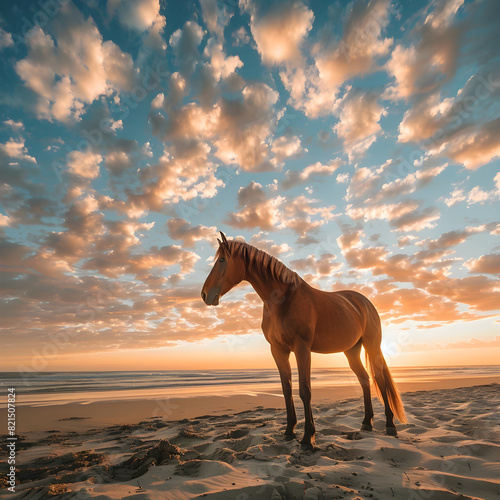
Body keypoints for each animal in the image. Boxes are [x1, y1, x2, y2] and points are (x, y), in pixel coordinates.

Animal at [202, 233, 406, 450]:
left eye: (222, 260)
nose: (205, 294)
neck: (283, 300)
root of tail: (365, 303)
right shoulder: (278, 350)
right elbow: (287, 390)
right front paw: (289, 432)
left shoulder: (302, 347)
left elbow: (304, 390)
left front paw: (308, 438)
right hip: (351, 350)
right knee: (365, 379)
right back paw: (366, 422)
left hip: (372, 345)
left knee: (380, 380)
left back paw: (390, 425)